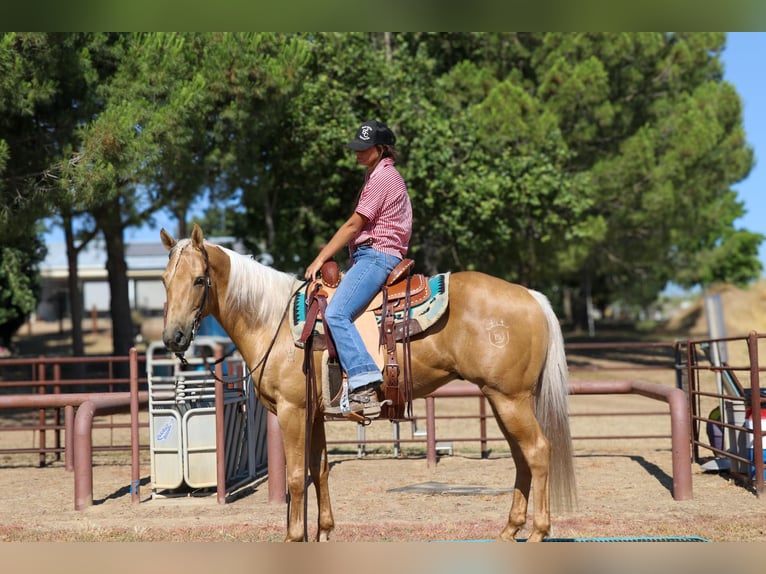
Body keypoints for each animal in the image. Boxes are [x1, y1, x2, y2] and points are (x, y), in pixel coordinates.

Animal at [160, 223, 576, 542]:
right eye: (164, 281)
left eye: (199, 280)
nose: (173, 337)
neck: (272, 320)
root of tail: (532, 297)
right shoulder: (314, 415)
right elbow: (319, 470)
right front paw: (323, 532)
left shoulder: (293, 412)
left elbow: (295, 477)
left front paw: (294, 537)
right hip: (501, 399)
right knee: (522, 457)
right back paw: (509, 530)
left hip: (510, 399)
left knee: (538, 451)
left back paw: (538, 532)